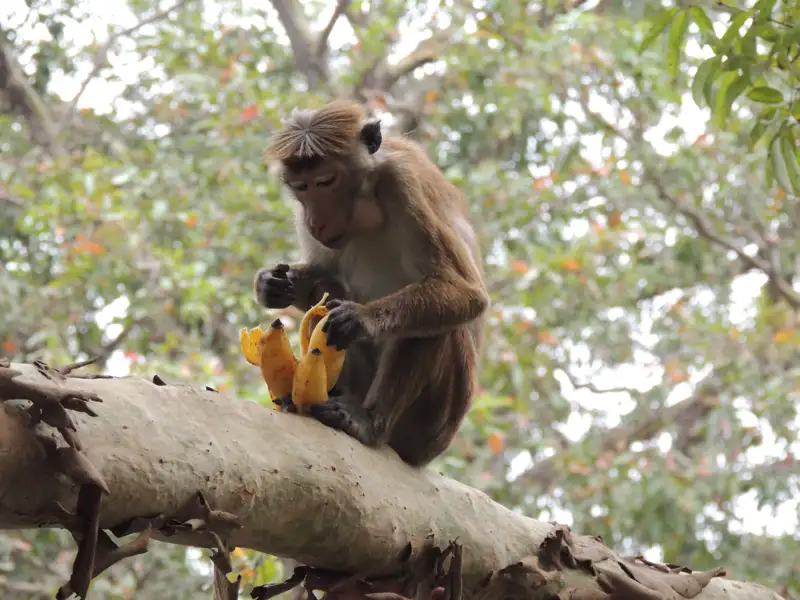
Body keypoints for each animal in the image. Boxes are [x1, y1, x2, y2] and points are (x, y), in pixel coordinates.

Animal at [254, 100, 489, 467]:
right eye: (300, 187)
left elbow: (466, 293)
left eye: (326, 181)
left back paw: (369, 423)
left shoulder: (404, 184)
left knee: (437, 326)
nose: (316, 222)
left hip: (431, 425)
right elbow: (324, 277)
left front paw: (361, 318)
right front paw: (271, 285)